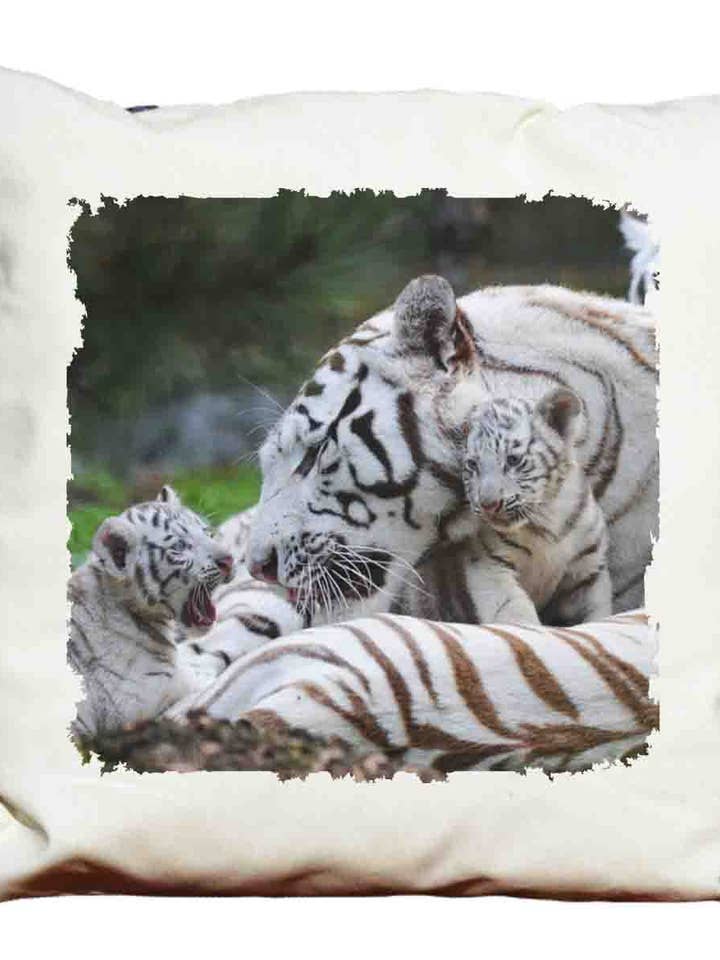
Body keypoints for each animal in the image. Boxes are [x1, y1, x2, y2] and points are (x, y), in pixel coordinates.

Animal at [460, 387, 611, 626]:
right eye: (473, 465)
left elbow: (598, 614)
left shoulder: (588, 572)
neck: (546, 519)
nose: (488, 505)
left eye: (512, 460)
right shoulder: (489, 564)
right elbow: (514, 611)